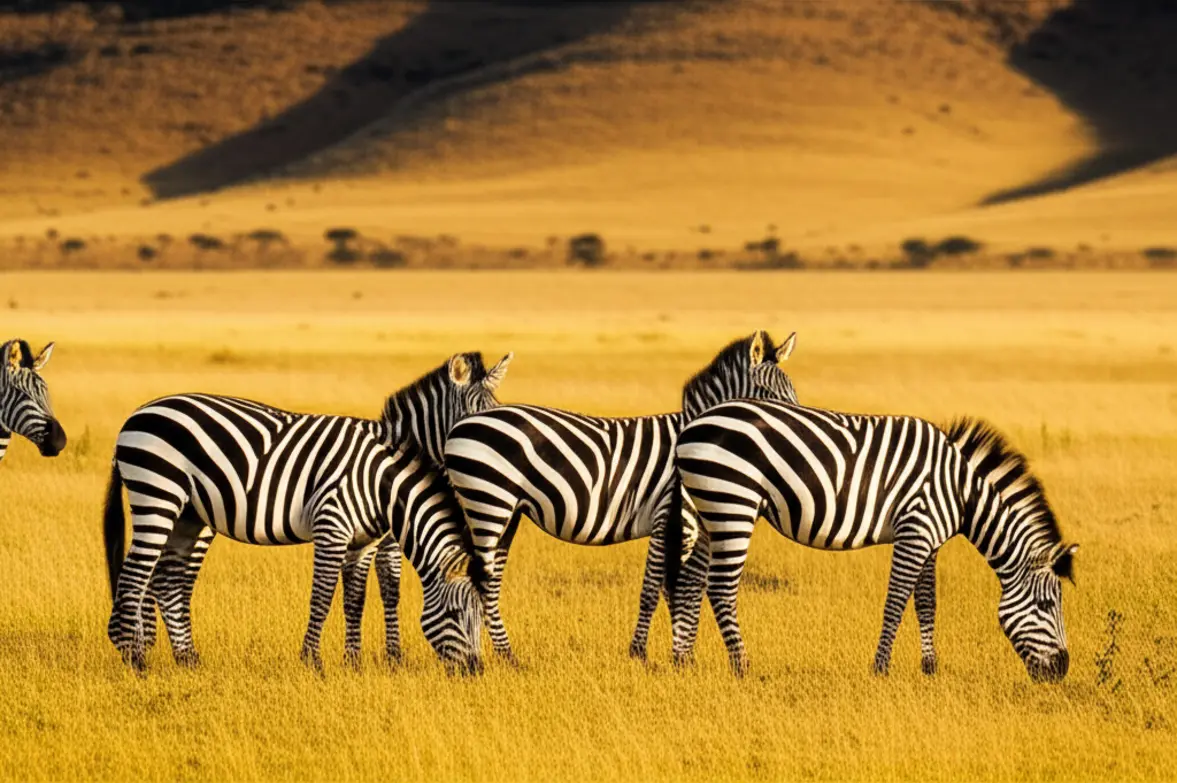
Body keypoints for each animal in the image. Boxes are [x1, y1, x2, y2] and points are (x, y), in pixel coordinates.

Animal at [105, 352, 511, 672]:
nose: (475, 671)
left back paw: (186, 659)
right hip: (158, 495)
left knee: (167, 580)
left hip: (190, 515)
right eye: (474, 418)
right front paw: (318, 661)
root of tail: (137, 414)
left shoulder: (366, 539)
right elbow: (329, 594)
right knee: (137, 576)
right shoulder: (336, 527)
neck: (384, 476)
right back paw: (135, 657)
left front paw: (357, 662)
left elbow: (358, 597)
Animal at [443, 331, 798, 661]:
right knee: (479, 579)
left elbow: (674, 587)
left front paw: (681, 654)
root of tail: (462, 424)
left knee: (488, 579)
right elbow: (655, 588)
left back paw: (506, 656)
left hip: (504, 510)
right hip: (488, 501)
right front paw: (641, 653)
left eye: (792, 394)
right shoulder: (666, 512)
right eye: (771, 397)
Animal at [665, 399, 1079, 682]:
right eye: (1047, 605)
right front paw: (880, 668)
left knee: (691, 581)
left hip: (710, 512)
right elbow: (896, 601)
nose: (1062, 669)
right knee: (720, 588)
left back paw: (684, 660)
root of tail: (690, 427)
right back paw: (742, 666)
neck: (962, 492)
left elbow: (926, 603)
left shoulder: (930, 541)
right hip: (733, 502)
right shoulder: (915, 529)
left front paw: (930, 667)